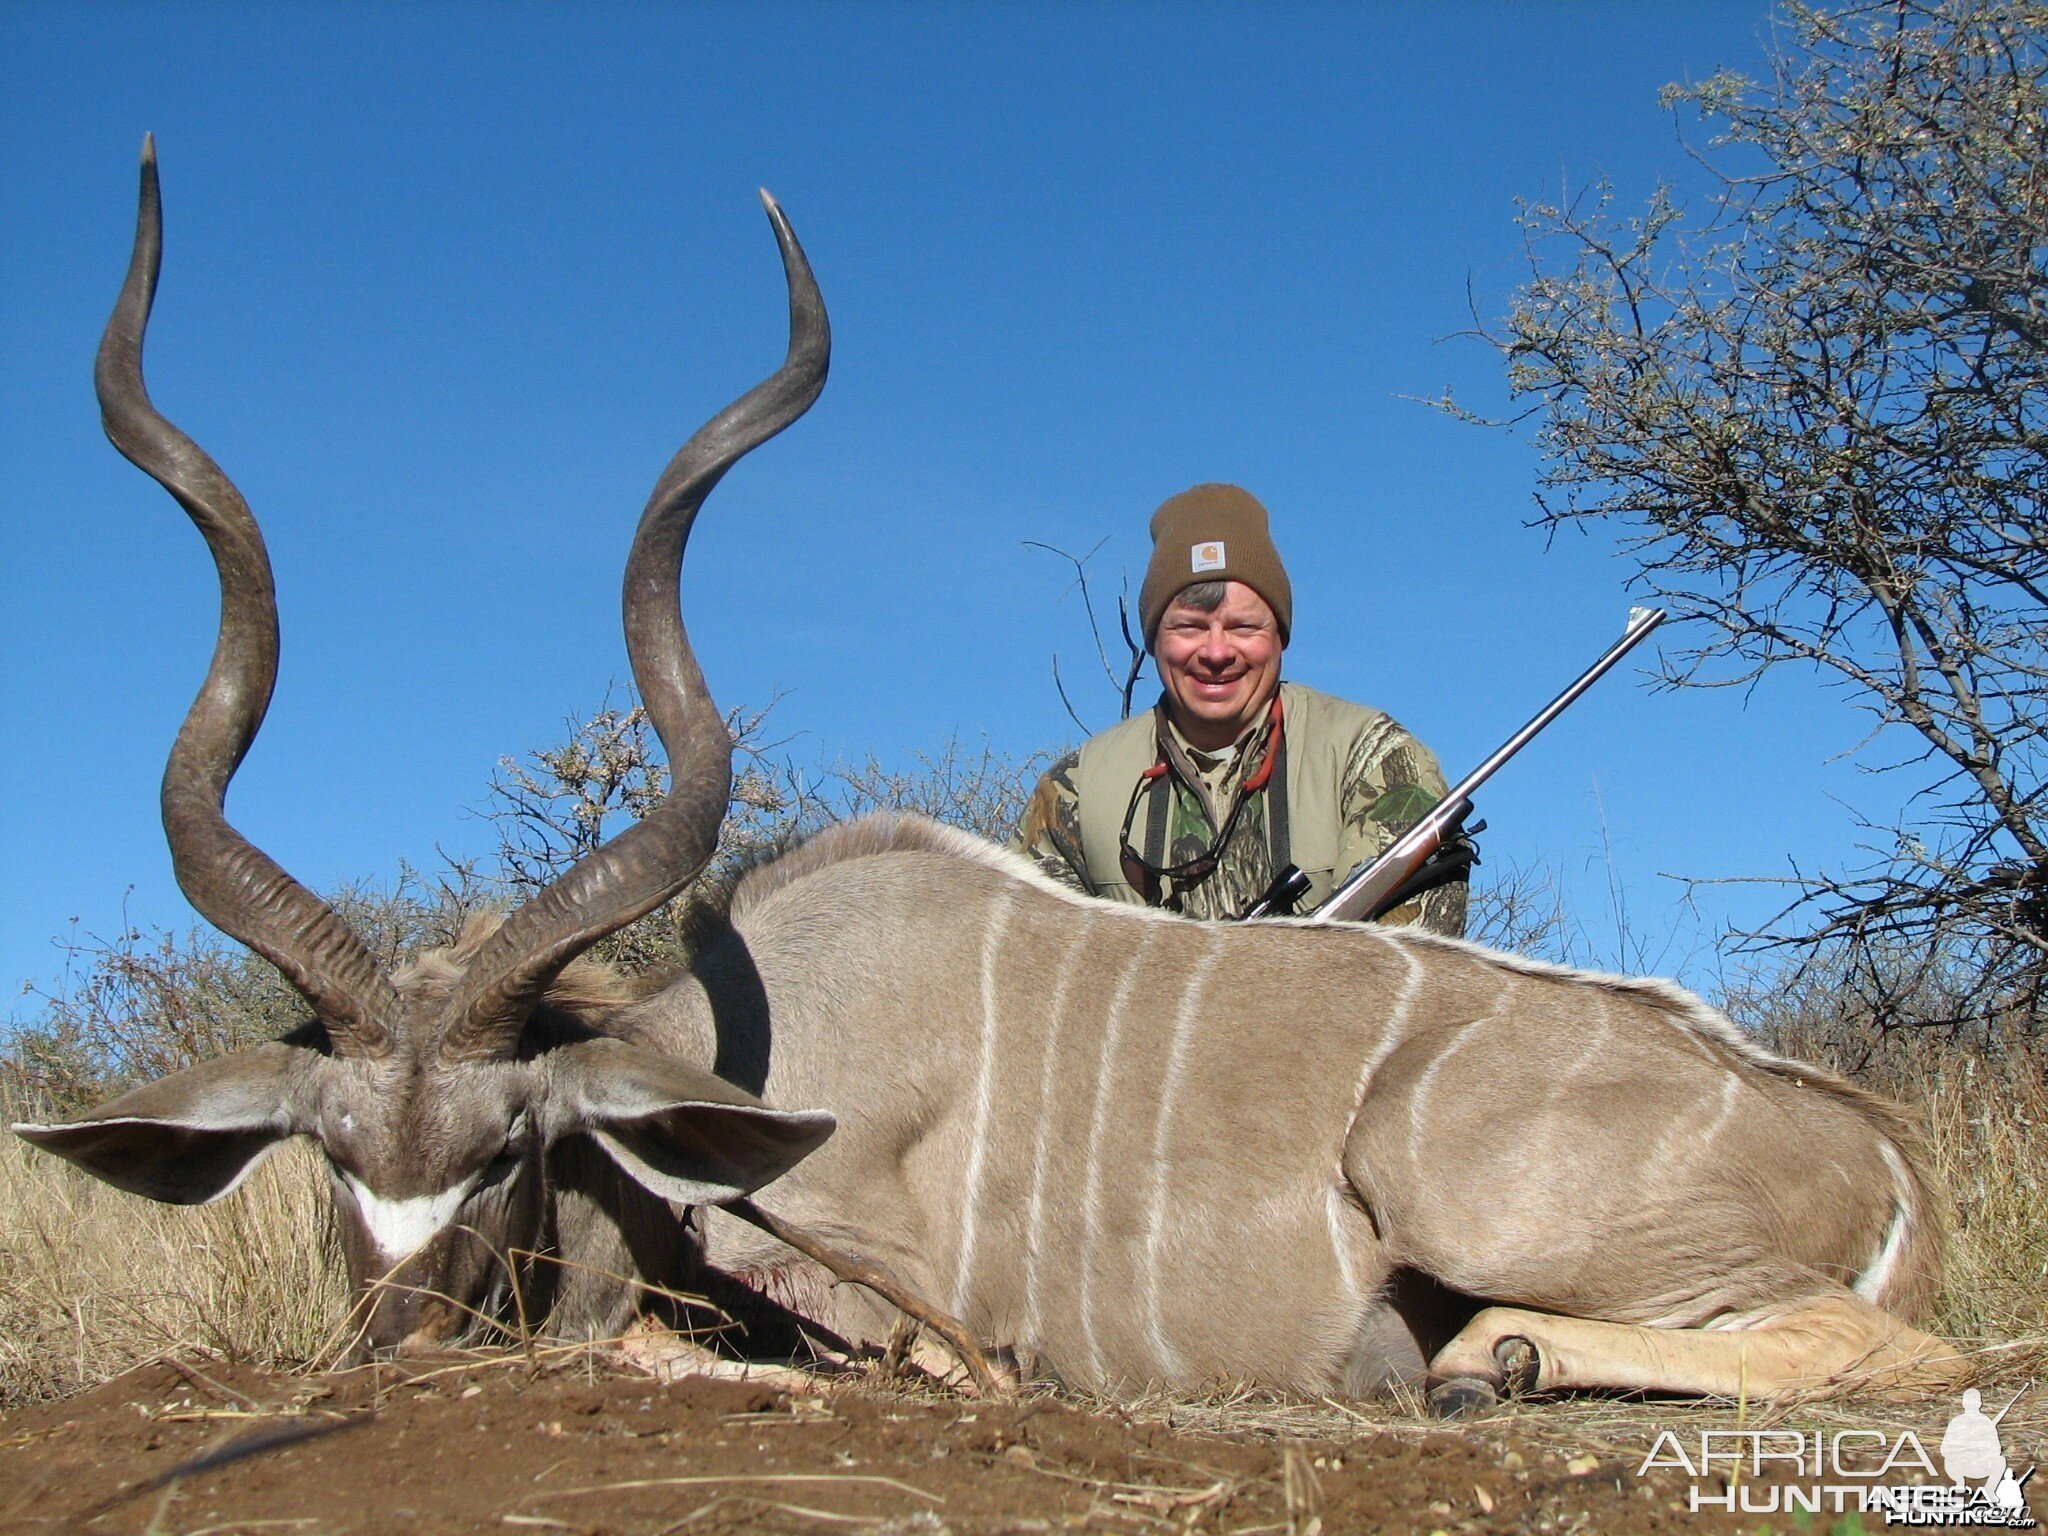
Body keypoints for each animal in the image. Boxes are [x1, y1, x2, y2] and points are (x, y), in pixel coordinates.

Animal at [19, 147, 1966, 1417]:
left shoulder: (910, 1310)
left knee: (1881, 1345)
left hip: (1468, 1190)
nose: (398, 1359)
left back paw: (1481, 1366)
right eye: (322, 1155)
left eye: (513, 1149)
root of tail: (1868, 1140)